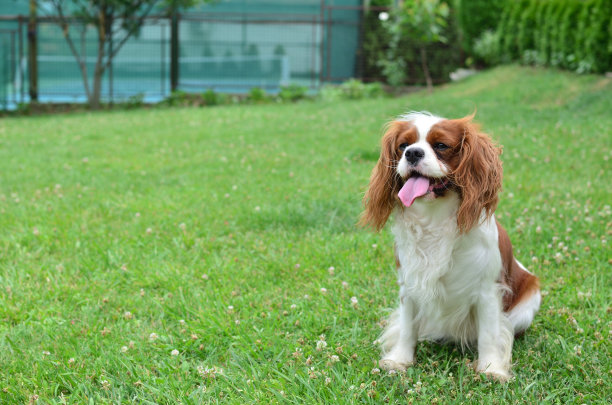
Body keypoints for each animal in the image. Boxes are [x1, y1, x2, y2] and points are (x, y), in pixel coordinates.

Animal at [360, 110, 544, 378]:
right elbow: (407, 327)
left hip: (528, 305)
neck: (434, 218)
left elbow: (489, 334)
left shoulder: (488, 291)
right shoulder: (409, 284)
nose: (412, 153)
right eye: (403, 146)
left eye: (441, 146)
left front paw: (491, 369)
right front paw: (399, 360)